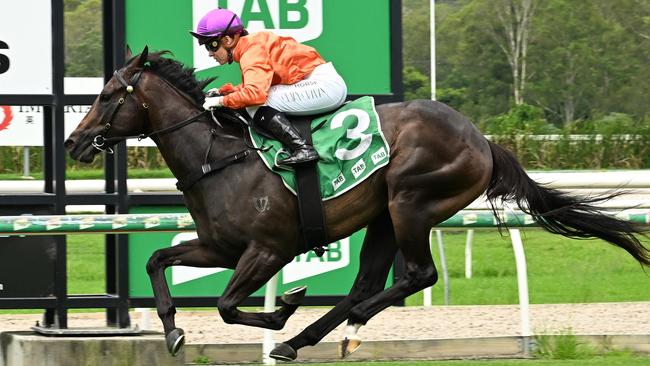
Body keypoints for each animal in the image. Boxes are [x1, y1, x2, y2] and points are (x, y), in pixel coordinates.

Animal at [62, 46, 648, 360]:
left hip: (411, 202)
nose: (73, 142)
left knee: (414, 276)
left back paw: (334, 328)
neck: (220, 158)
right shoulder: (219, 247)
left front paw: (284, 306)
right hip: (383, 215)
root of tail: (483, 140)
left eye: (109, 96)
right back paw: (309, 339)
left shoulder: (268, 250)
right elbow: (157, 260)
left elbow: (229, 305)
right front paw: (174, 330)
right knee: (367, 283)